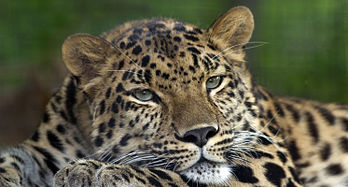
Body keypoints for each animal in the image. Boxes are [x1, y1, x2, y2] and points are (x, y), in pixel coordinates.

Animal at [0, 6, 348, 187]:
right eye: (144, 95)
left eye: (213, 82)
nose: (201, 134)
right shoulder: (42, 151)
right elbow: (11, 158)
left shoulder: (268, 157)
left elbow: (176, 176)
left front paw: (99, 172)